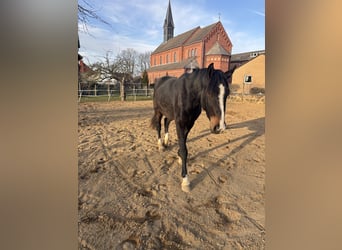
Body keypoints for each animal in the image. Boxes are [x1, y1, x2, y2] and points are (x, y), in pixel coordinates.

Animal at [151, 63, 236, 192]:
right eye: (209, 93)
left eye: (227, 94)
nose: (220, 127)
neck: (188, 95)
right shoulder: (180, 123)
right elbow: (184, 149)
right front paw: (185, 181)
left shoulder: (189, 123)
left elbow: (184, 144)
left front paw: (179, 157)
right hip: (158, 111)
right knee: (158, 125)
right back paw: (161, 145)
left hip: (169, 113)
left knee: (166, 122)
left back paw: (166, 142)